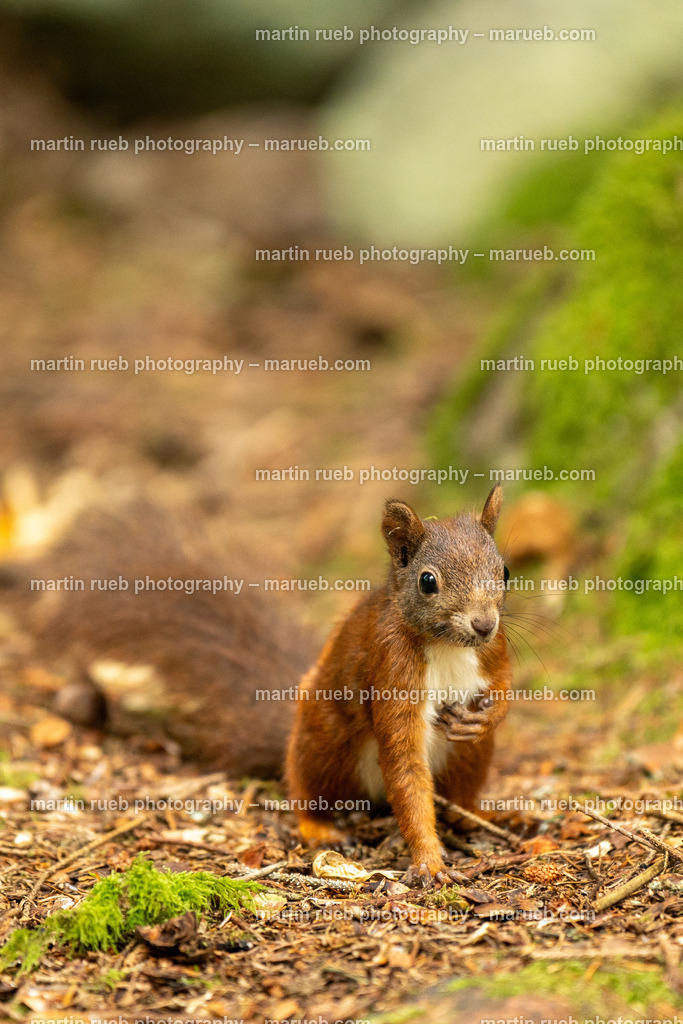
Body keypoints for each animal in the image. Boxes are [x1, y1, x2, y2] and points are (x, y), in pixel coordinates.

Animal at [1, 488, 511, 885]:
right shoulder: (391, 666)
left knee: (462, 786)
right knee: (303, 783)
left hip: (468, 757)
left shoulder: (496, 649)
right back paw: (317, 826)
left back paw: (484, 814)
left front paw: (486, 715)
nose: (483, 623)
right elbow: (405, 763)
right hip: (325, 739)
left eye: (504, 571)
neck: (446, 645)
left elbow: (504, 686)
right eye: (427, 581)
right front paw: (428, 861)